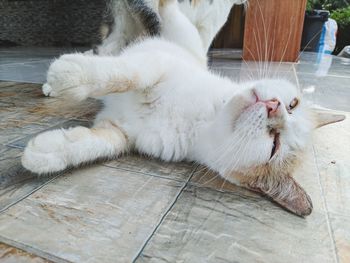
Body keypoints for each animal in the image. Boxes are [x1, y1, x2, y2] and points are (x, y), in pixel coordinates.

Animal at [21, 0, 344, 217]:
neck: (205, 117)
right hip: (175, 32)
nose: (274, 106)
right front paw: (68, 75)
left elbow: (93, 145)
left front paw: (45, 153)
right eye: (293, 104)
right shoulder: (156, 65)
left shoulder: (122, 133)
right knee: (152, 20)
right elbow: (122, 74)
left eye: (275, 144)